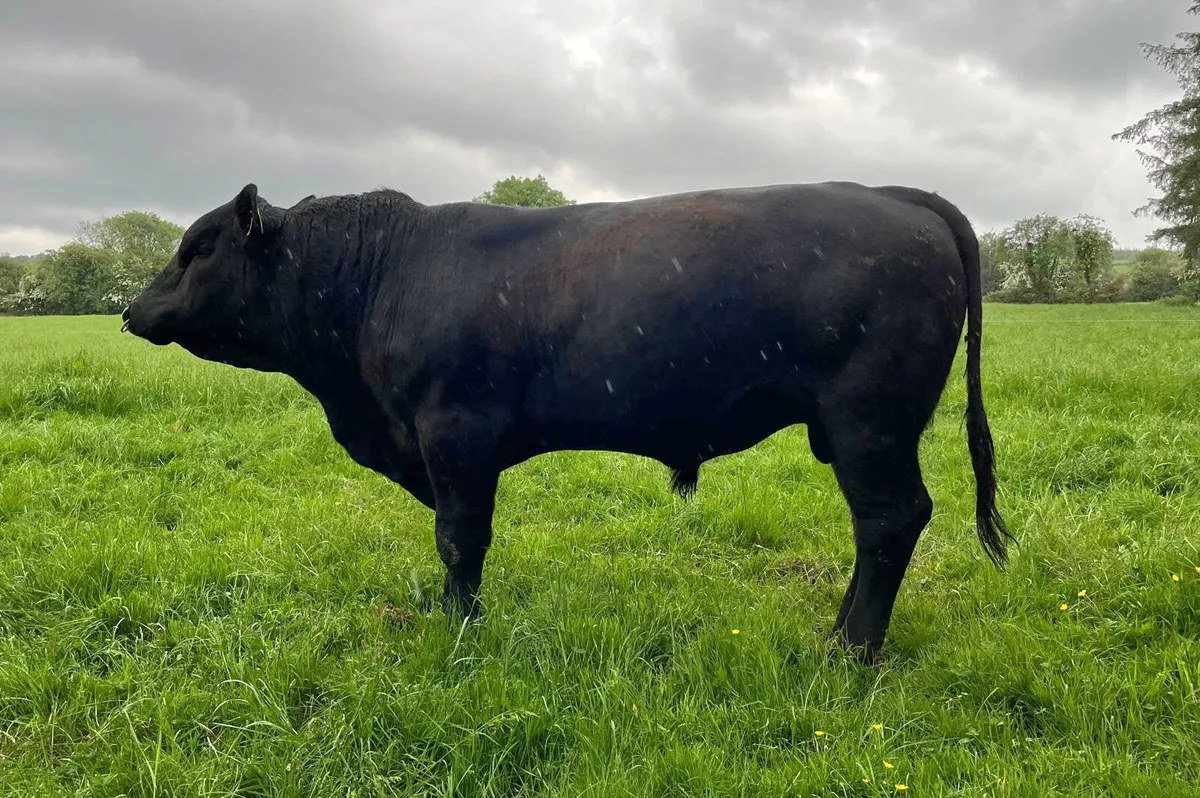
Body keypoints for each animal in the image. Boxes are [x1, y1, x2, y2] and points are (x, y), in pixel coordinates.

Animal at [122, 179, 1012, 661]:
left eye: (198, 248)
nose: (130, 310)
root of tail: (891, 194)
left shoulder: (455, 435)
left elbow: (459, 540)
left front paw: (460, 625)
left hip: (870, 423)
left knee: (891, 520)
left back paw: (849, 649)